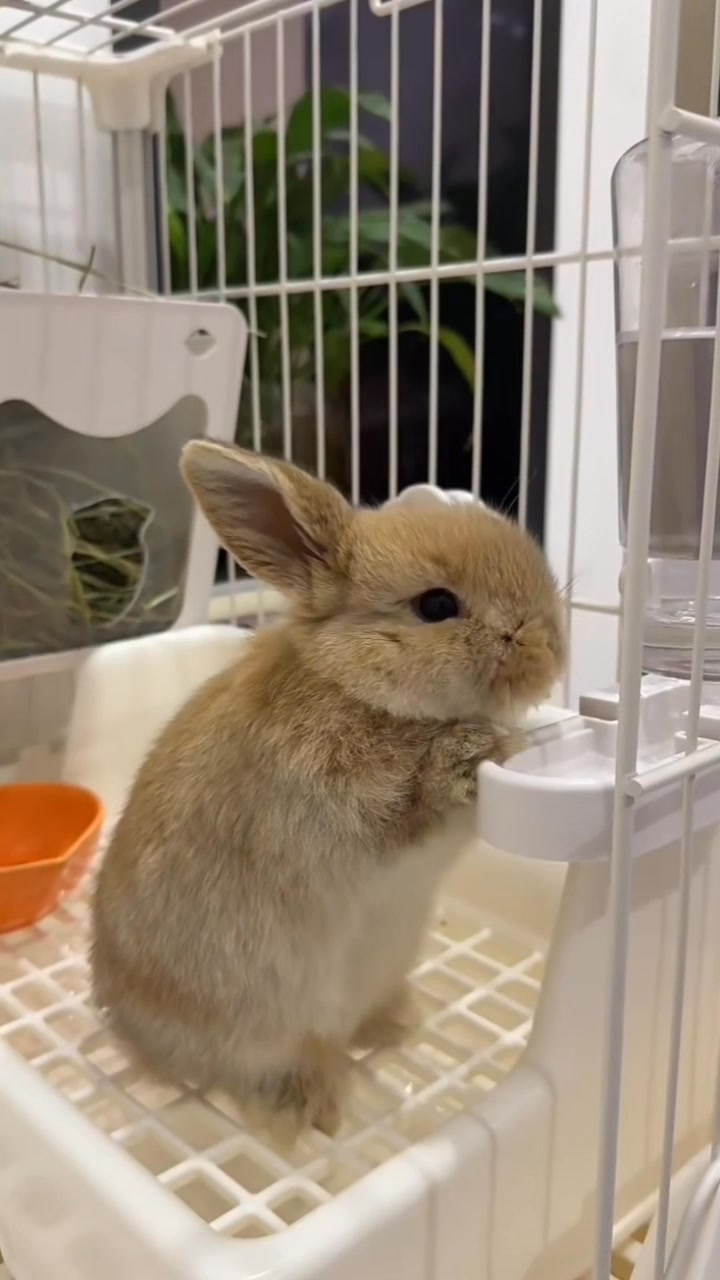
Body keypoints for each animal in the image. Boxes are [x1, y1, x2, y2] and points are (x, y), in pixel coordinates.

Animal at [91, 444, 566, 1135]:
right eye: (436, 606)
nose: (552, 652)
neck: (355, 683)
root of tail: (132, 1038)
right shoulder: (353, 811)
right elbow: (416, 798)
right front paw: (481, 750)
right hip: (261, 1032)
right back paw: (312, 1109)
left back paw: (394, 1025)